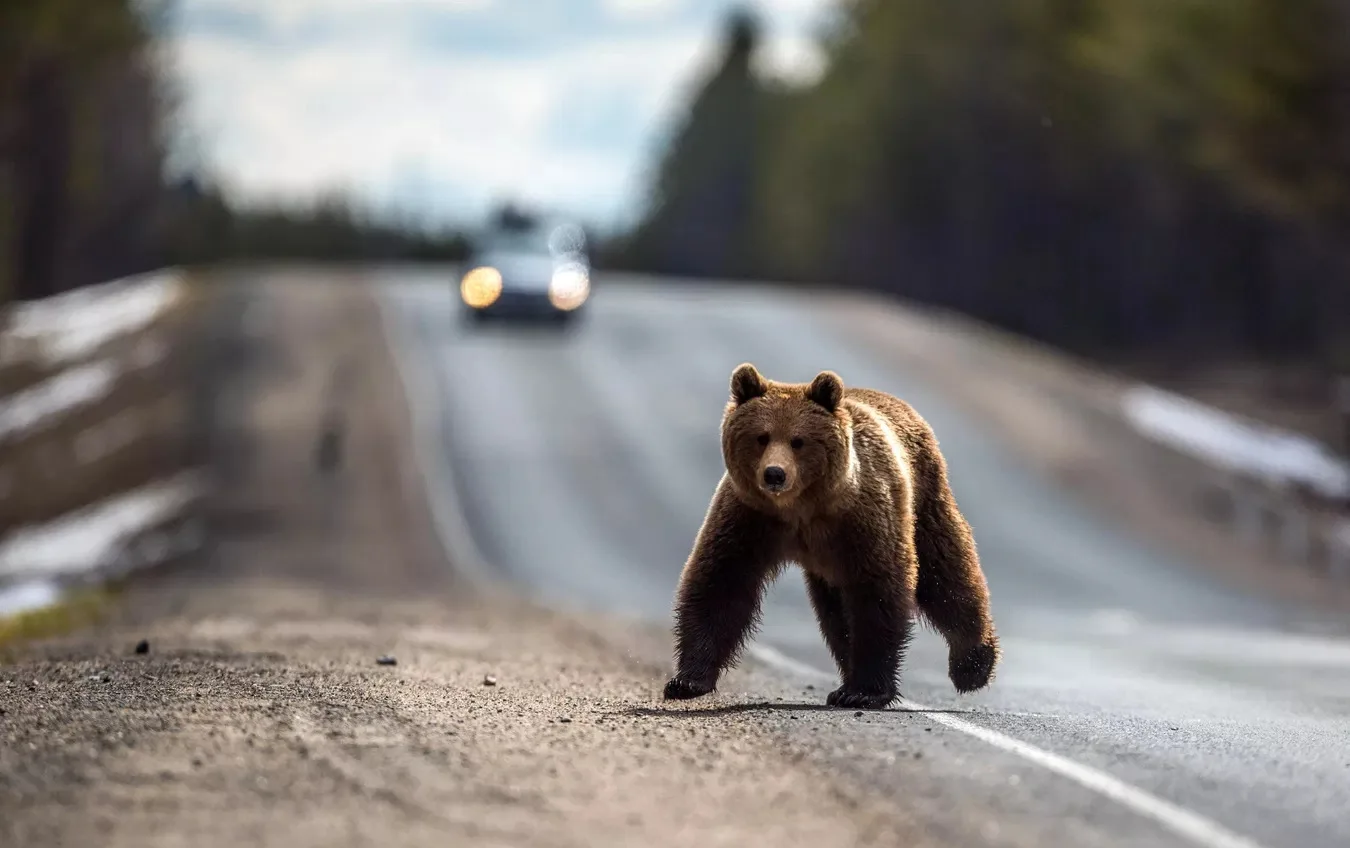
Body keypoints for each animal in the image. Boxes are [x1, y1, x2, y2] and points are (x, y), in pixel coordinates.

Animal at [662, 362, 999, 710]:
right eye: (761, 437)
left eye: (798, 440)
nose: (774, 474)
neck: (801, 508)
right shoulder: (751, 517)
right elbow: (721, 581)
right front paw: (687, 680)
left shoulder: (862, 521)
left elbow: (878, 593)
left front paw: (866, 691)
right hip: (830, 565)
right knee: (836, 613)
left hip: (923, 499)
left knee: (946, 572)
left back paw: (973, 665)